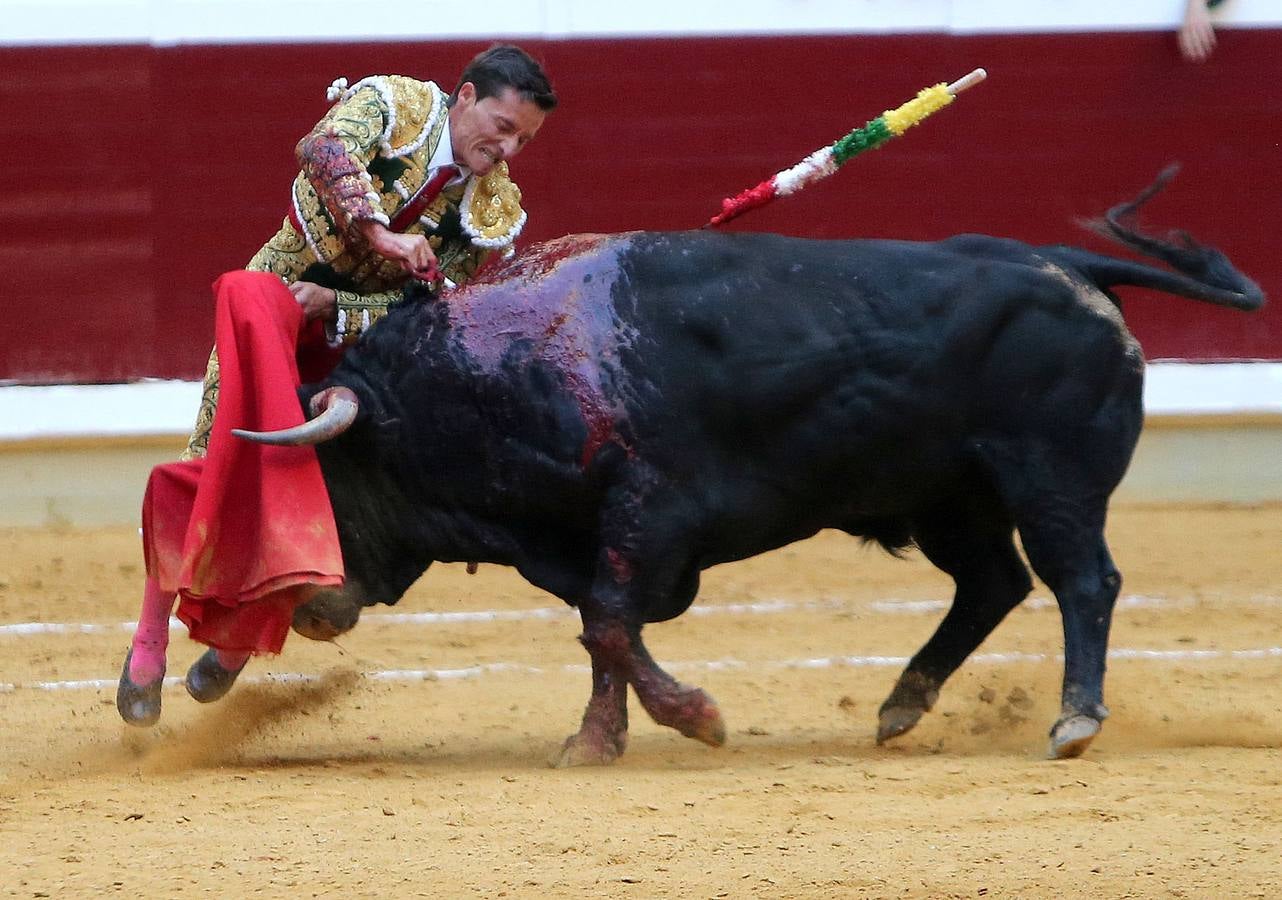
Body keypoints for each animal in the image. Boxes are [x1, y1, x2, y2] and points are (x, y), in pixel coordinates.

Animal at [242, 173, 1261, 764]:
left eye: (328, 482)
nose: (310, 609)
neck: (500, 368)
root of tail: (1066, 264)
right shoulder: (594, 536)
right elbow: (602, 630)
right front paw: (596, 741)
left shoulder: (651, 512)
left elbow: (607, 622)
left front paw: (695, 718)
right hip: (949, 497)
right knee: (993, 583)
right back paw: (901, 705)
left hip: (1052, 482)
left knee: (1082, 580)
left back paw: (1073, 721)